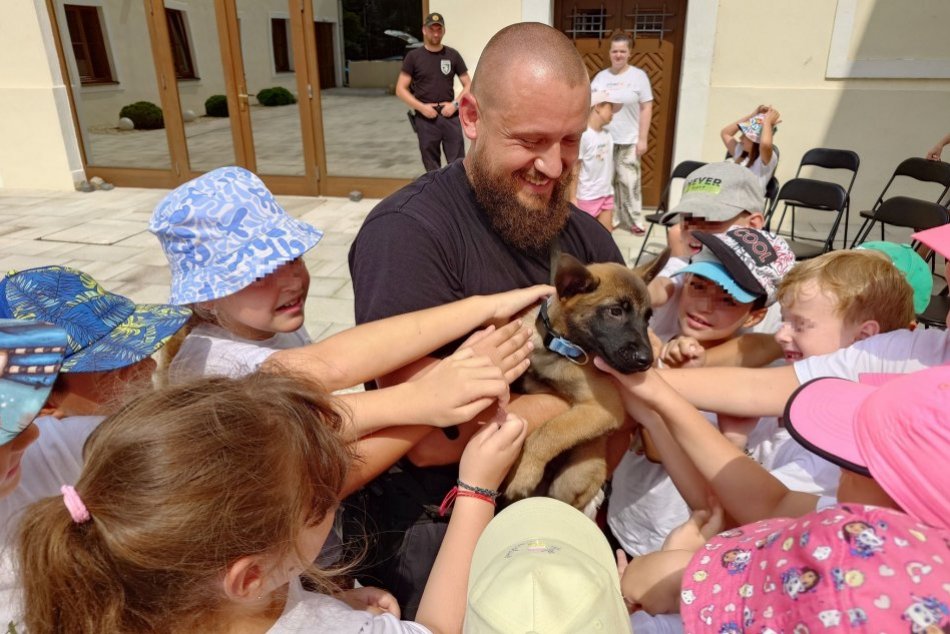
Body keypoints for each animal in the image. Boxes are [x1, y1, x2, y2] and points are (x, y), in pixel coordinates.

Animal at [506, 251, 668, 508]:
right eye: (615, 311)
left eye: (647, 319)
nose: (647, 360)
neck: (560, 348)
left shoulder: (604, 409)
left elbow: (548, 431)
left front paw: (524, 473)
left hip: (572, 477)